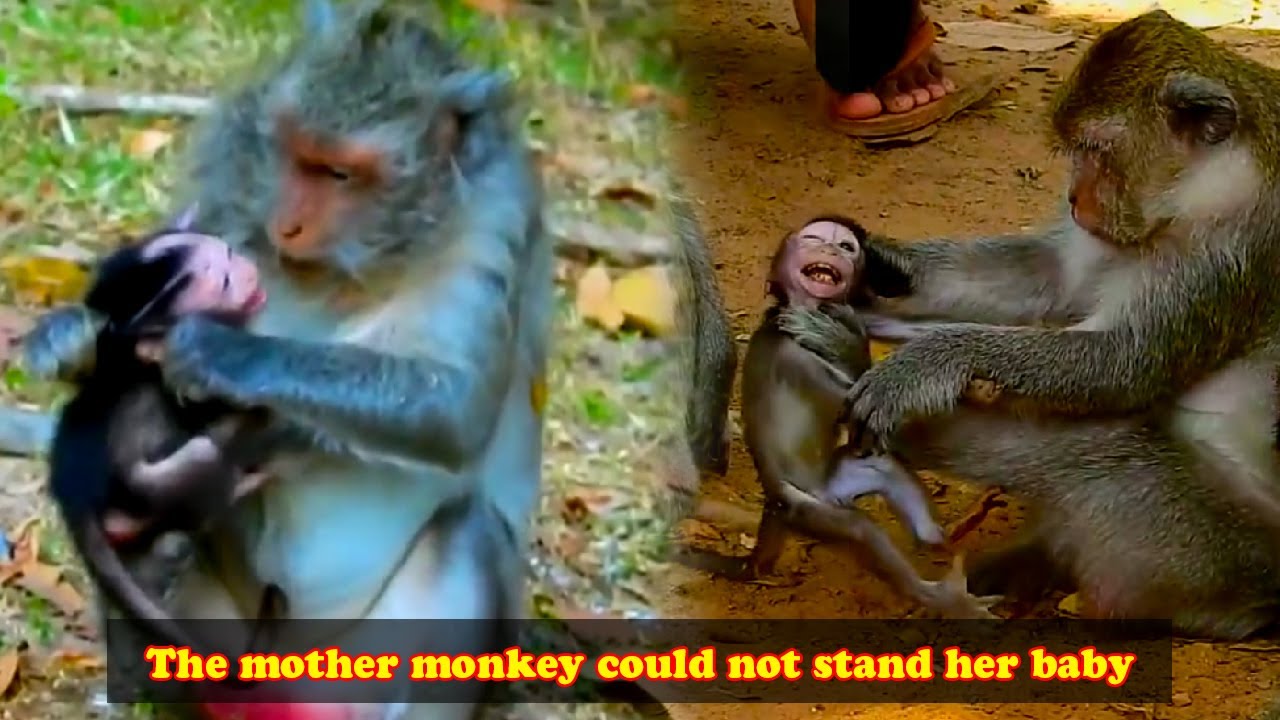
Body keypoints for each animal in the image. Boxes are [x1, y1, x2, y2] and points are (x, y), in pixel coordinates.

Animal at [778, 10, 1280, 641]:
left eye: (1096, 149)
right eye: (1075, 151)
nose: (1073, 197)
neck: (1206, 184)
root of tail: (1260, 608)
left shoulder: (1230, 249)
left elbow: (1125, 363)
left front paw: (933, 361)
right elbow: (1049, 277)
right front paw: (886, 262)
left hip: (1201, 547)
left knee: (1105, 445)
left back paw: (853, 371)